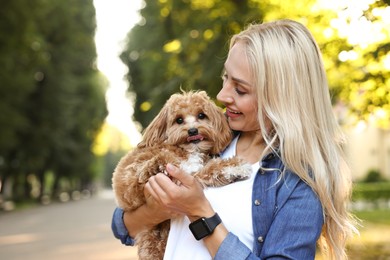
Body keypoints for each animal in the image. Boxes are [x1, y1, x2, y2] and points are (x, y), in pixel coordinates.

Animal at [111, 90, 251, 260]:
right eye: (179, 120)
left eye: (201, 115)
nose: (192, 131)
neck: (186, 149)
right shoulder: (135, 176)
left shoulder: (192, 174)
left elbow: (208, 170)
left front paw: (235, 168)